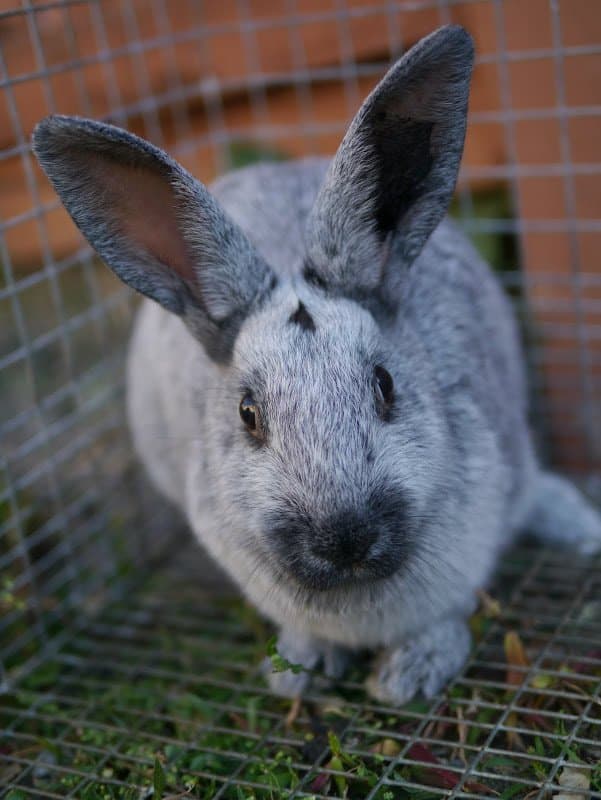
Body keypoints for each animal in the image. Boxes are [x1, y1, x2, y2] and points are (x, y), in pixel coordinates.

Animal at [32, 25, 601, 706]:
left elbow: (446, 615)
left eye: (385, 386)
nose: (345, 537)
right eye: (248, 413)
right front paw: (296, 673)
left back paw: (580, 528)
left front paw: (408, 677)